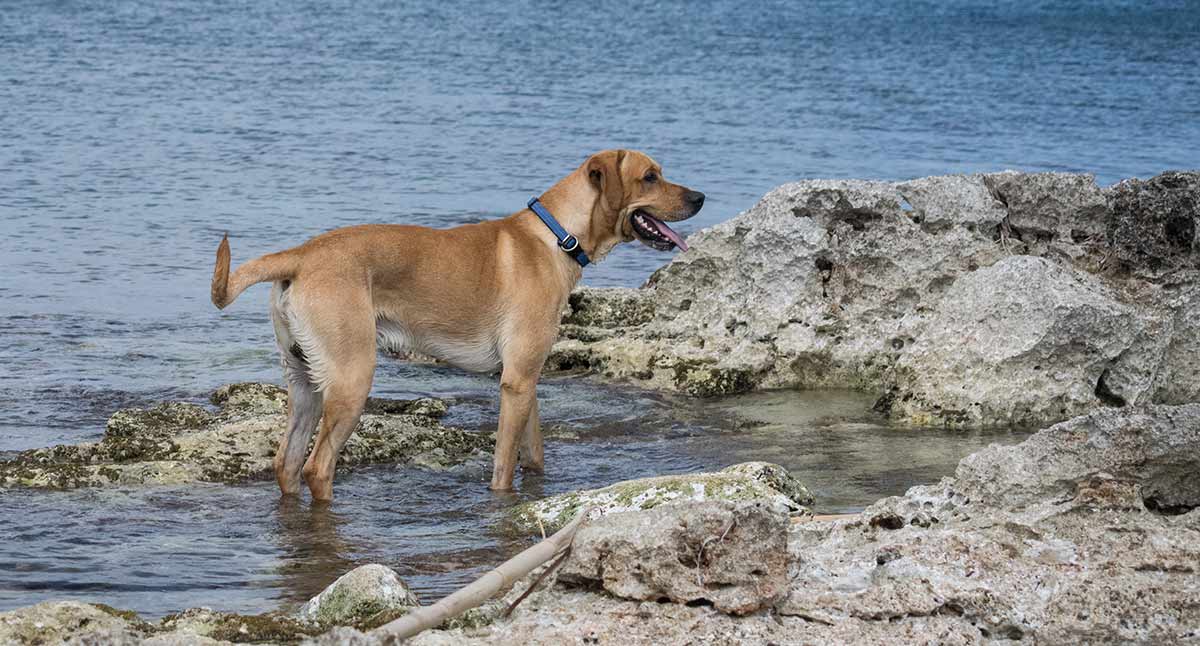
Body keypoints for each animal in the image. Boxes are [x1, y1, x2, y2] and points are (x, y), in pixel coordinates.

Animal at [211, 150, 700, 497]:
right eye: (650, 176)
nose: (701, 198)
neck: (557, 236)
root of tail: (301, 255)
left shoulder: (525, 379)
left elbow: (534, 454)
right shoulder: (517, 382)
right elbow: (503, 466)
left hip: (305, 384)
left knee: (288, 464)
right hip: (352, 380)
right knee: (318, 468)